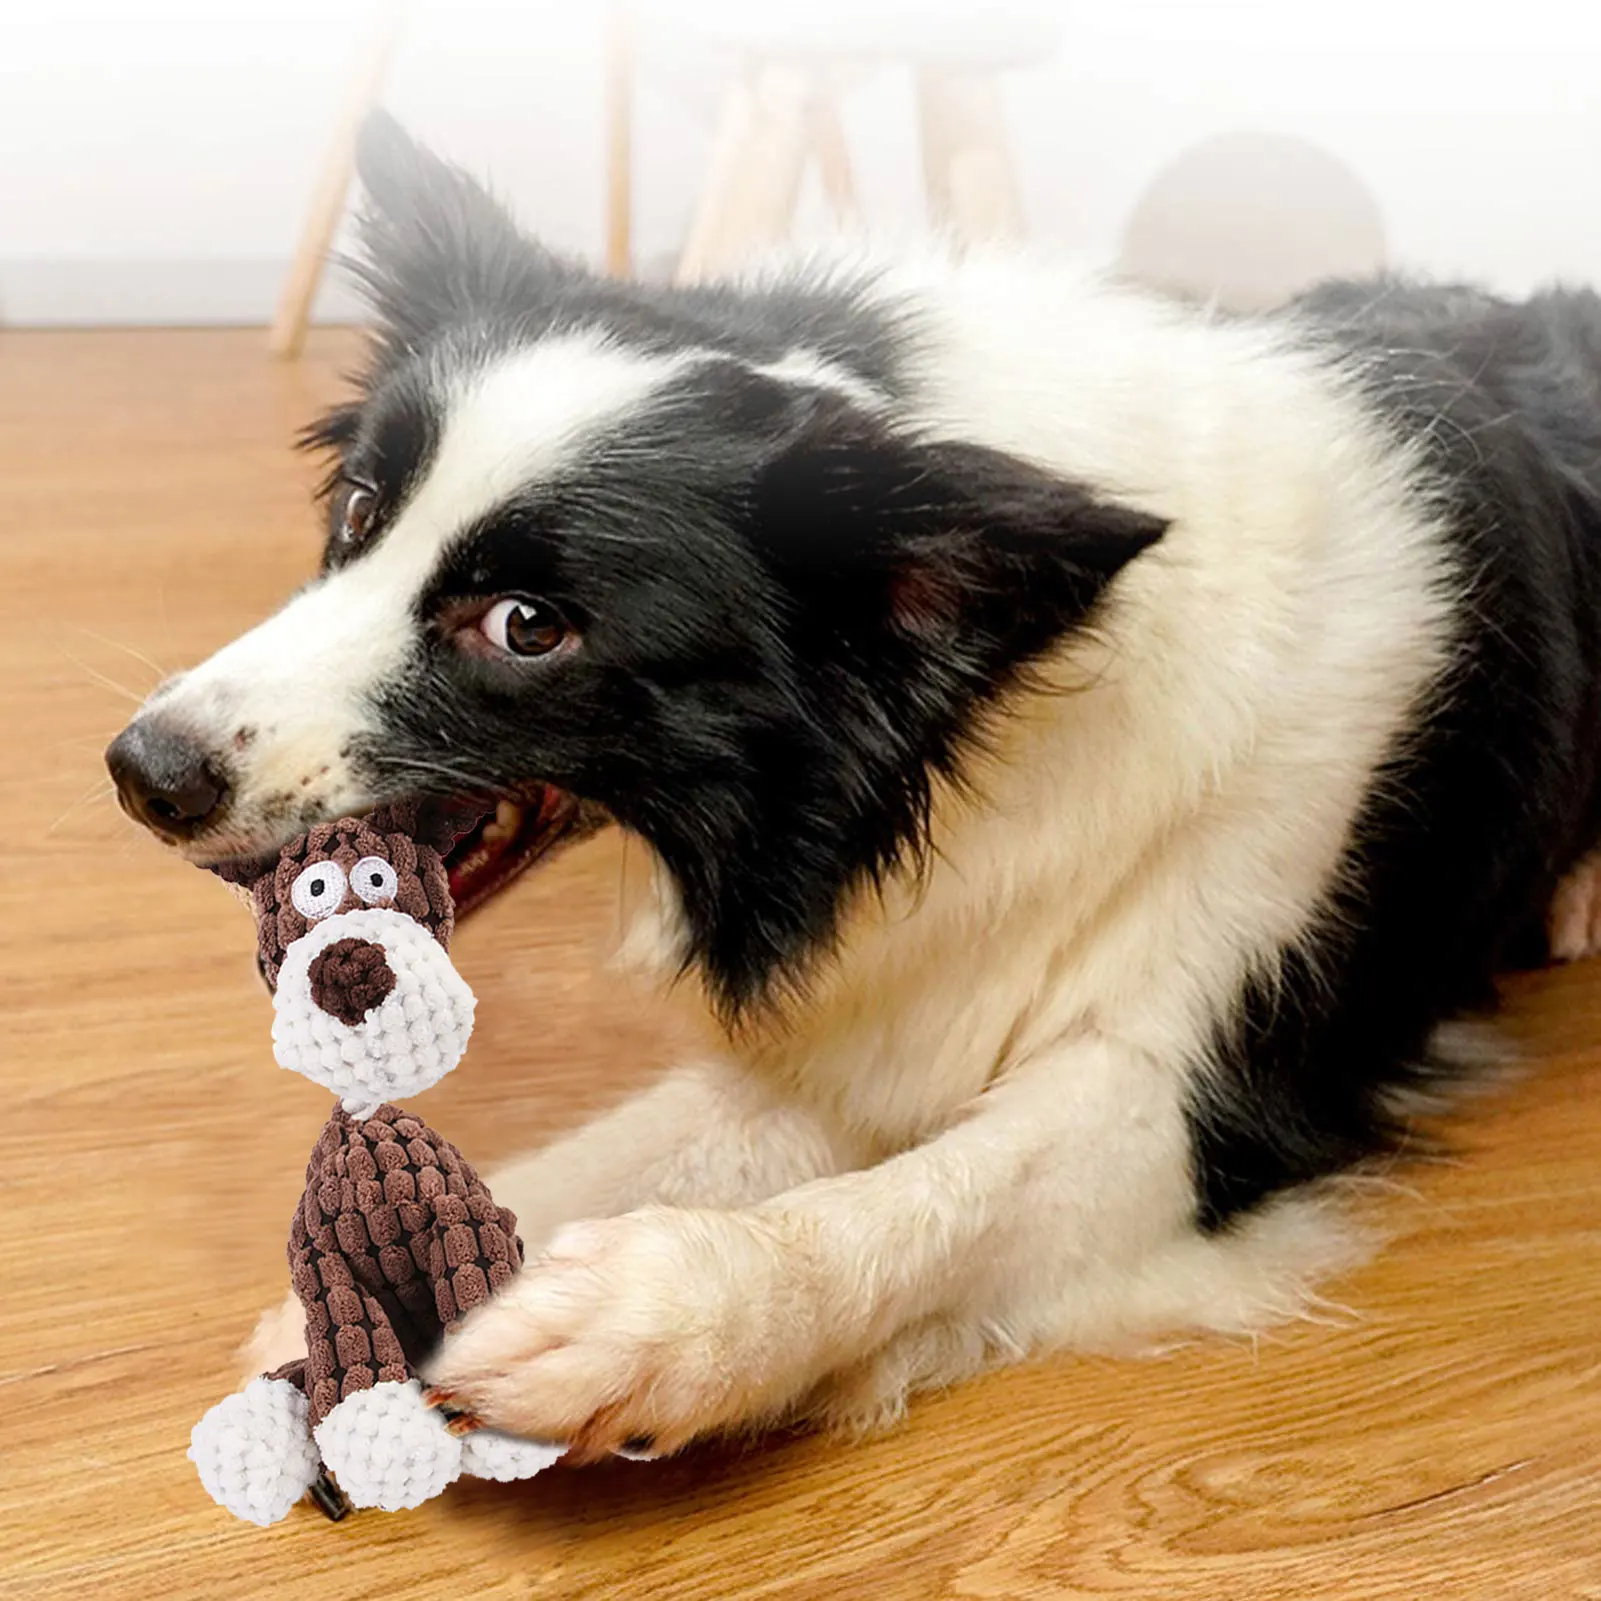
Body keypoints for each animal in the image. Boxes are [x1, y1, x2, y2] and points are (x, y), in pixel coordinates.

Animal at [106, 113, 1601, 1457]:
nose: (142, 771)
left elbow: (929, 1203)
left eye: (529, 626)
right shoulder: (886, 999)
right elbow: (658, 1135)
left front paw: (661, 1321)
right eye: (361, 512)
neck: (983, 713)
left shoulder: (1201, 1091)